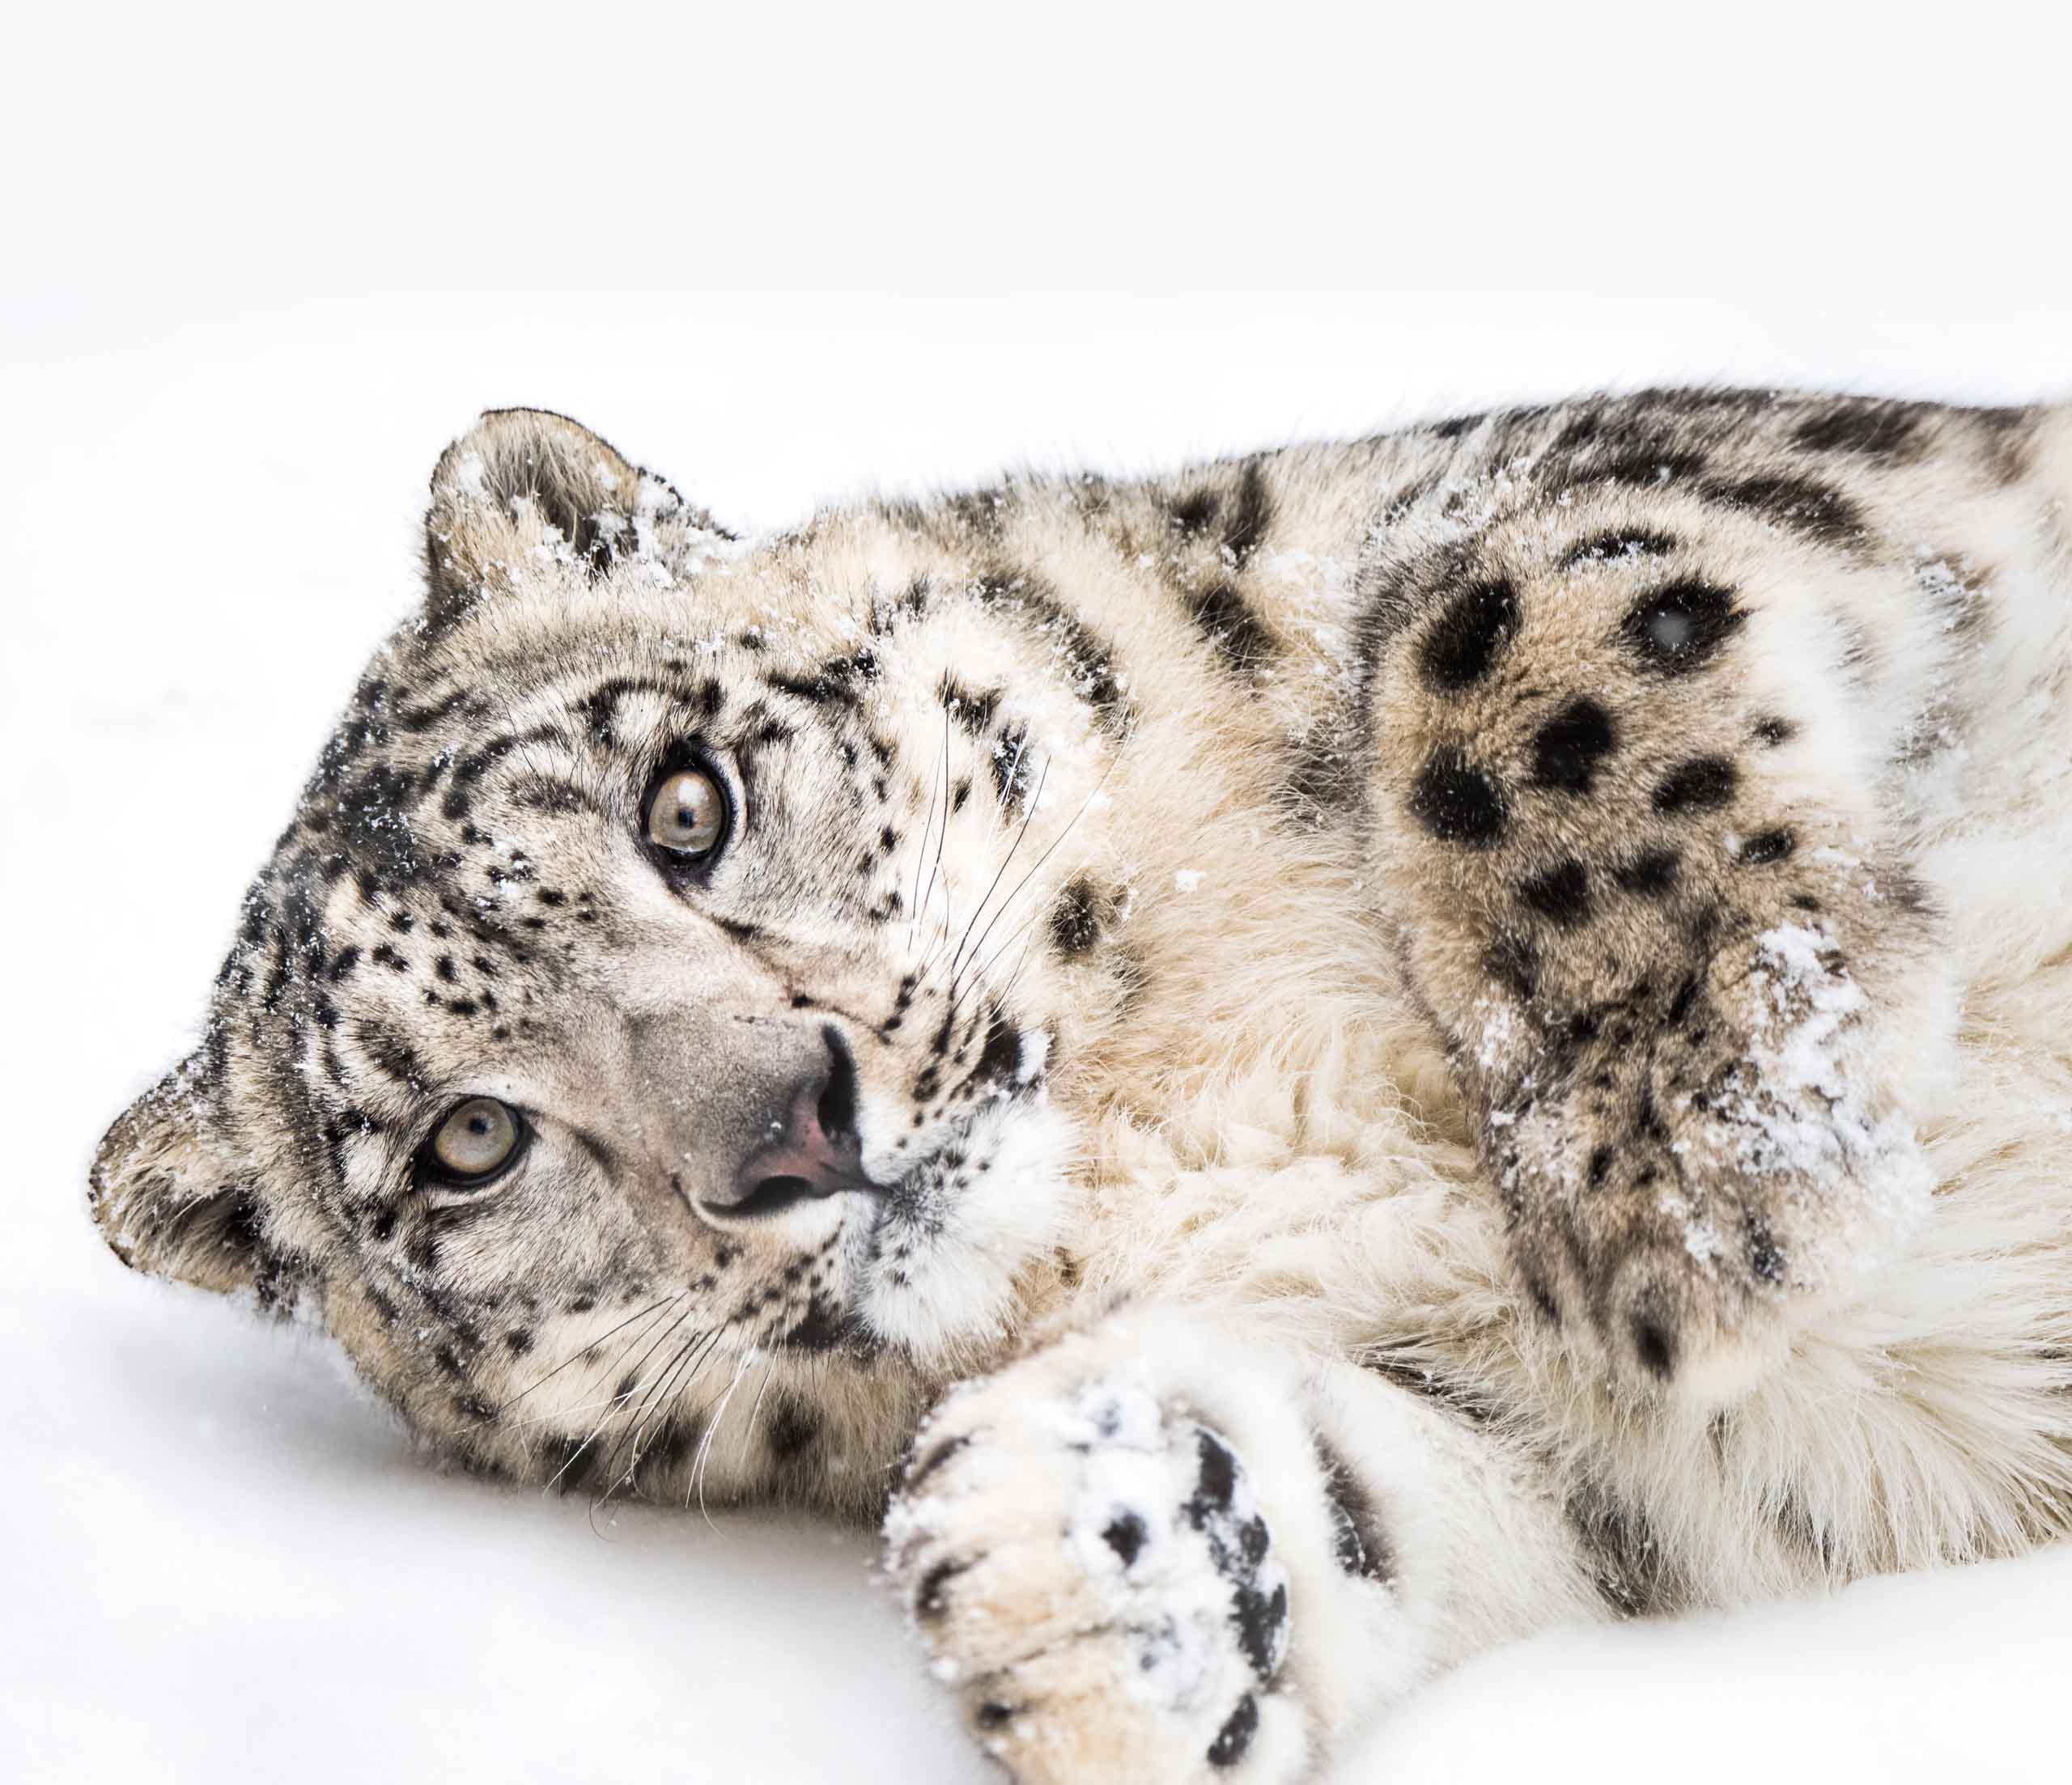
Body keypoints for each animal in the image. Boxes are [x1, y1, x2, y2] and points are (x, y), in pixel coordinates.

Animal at [92, 391, 2072, 1780]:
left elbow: (1509, 594)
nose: (789, 1125)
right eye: (471, 1139)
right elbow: (1416, 1492)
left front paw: (1705, 1144)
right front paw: (1104, 1554)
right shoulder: (1610, 1452)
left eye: (686, 801)